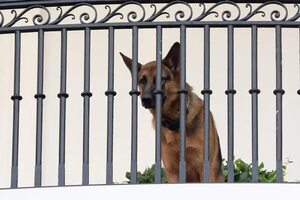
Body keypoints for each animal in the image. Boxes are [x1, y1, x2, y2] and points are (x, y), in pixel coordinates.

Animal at [120, 42, 224, 183]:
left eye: (161, 79)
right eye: (142, 80)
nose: (145, 99)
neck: (174, 120)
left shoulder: (205, 169)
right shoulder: (173, 173)